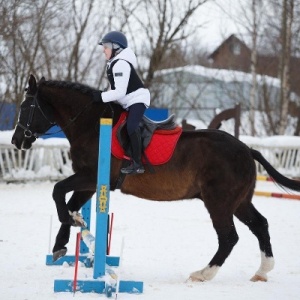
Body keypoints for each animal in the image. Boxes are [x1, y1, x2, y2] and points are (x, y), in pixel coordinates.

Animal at [10, 74, 300, 282]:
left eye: (27, 106)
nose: (16, 140)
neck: (90, 124)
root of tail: (247, 149)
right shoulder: (92, 183)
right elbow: (69, 203)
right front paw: (63, 241)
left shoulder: (92, 177)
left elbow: (58, 191)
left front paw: (69, 226)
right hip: (239, 202)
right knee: (260, 225)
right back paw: (262, 271)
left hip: (219, 202)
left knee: (229, 237)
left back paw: (202, 274)